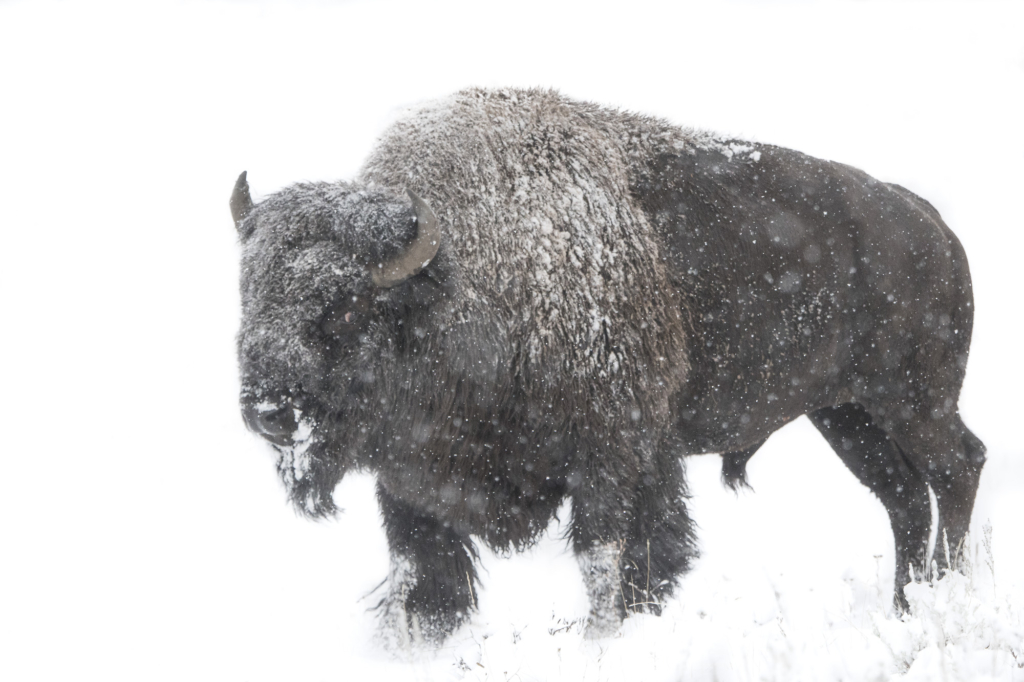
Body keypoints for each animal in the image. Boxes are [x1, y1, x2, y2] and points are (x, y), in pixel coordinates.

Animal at [232, 86, 983, 643]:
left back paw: (945, 594)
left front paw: (603, 638)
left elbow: (609, 561)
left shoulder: (613, 457)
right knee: (903, 496)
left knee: (957, 467)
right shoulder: (411, 486)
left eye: (346, 306)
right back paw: (907, 607)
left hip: (912, 401)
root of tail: (930, 223)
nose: (270, 412)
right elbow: (419, 581)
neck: (461, 281)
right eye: (250, 292)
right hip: (845, 415)